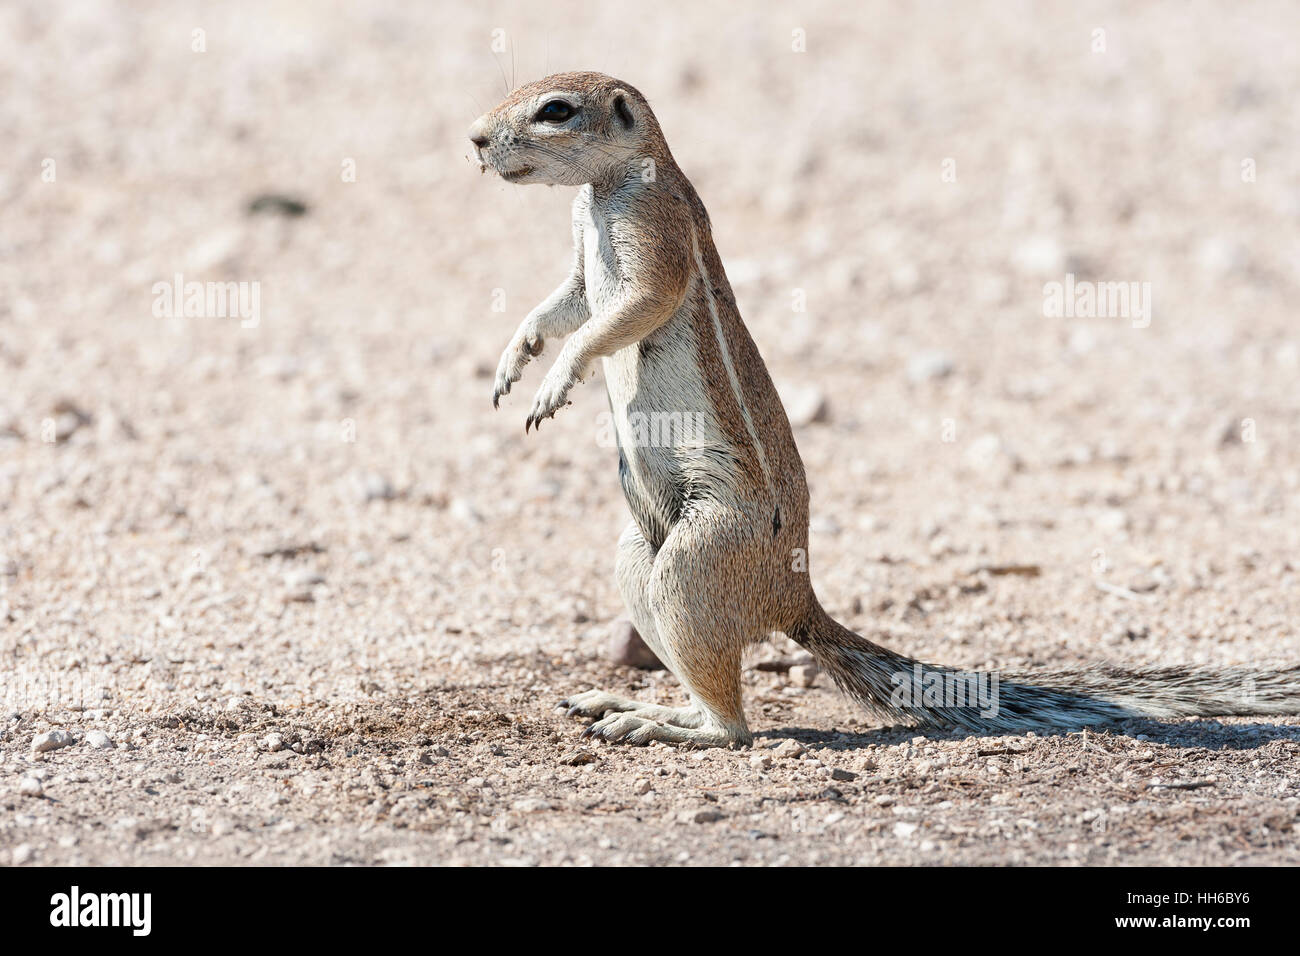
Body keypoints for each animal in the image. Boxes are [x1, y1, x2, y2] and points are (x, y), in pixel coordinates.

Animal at [469, 72, 1300, 747]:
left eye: (554, 109)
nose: (475, 139)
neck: (604, 190)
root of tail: (794, 598)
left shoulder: (655, 236)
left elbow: (624, 311)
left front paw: (556, 380)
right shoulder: (583, 263)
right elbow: (564, 303)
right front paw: (516, 355)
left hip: (697, 558)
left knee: (736, 725)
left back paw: (669, 725)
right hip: (636, 552)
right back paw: (637, 704)